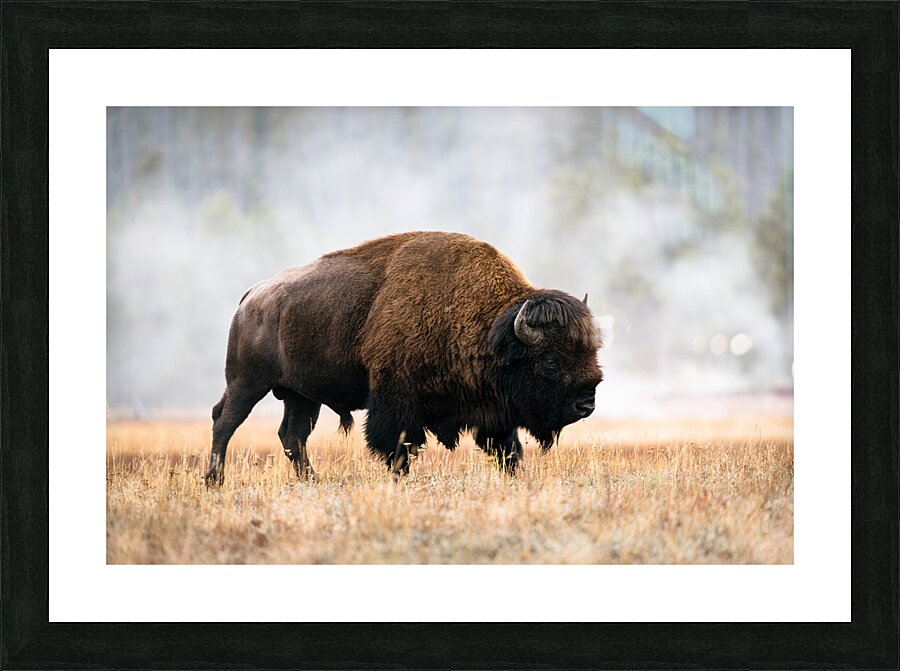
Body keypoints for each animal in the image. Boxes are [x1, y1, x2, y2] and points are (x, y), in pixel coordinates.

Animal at [203, 231, 611, 484]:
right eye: (550, 361)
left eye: (591, 351)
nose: (586, 404)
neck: (489, 327)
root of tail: (252, 296)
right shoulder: (396, 399)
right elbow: (398, 446)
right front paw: (401, 479)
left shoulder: (493, 413)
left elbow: (508, 449)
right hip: (247, 382)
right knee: (225, 421)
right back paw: (214, 480)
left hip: (301, 395)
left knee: (293, 435)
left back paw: (312, 481)